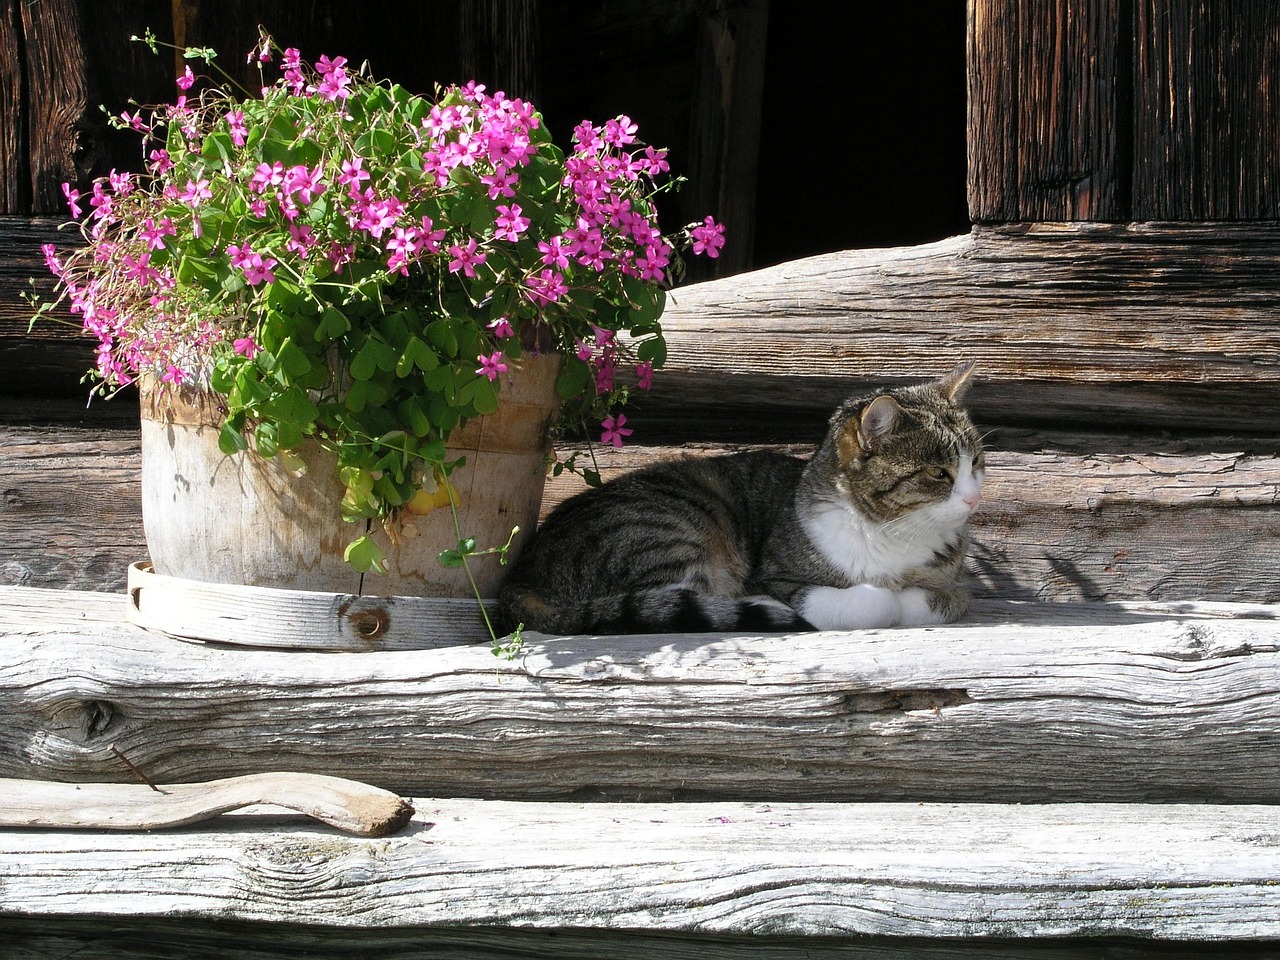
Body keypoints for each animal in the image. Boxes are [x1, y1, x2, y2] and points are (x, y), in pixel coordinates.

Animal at [494, 363, 983, 634]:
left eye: (976, 462)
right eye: (939, 473)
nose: (974, 499)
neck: (891, 533)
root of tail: (520, 576)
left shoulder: (952, 583)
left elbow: (947, 599)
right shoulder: (780, 577)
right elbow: (874, 601)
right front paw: (885, 598)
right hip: (672, 530)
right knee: (671, 600)